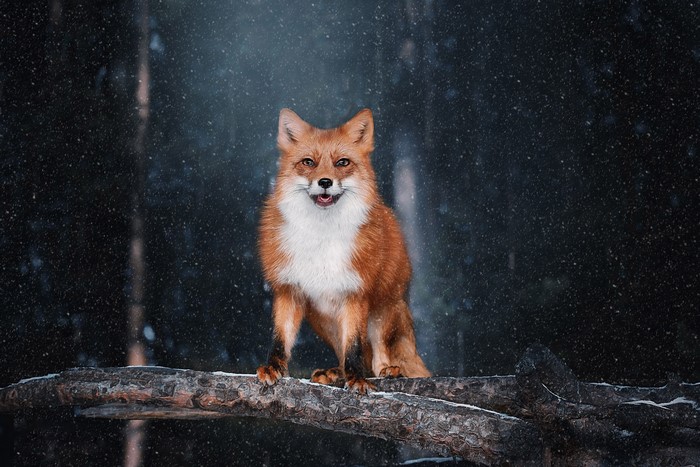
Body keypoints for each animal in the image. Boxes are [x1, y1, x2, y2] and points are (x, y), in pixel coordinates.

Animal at [256, 108, 430, 393]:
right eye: (308, 162)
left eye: (342, 163)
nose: (325, 181)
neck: (321, 236)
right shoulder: (288, 289)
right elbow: (280, 339)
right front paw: (274, 368)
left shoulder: (355, 292)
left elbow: (354, 347)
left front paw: (356, 379)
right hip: (322, 320)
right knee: (344, 352)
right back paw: (334, 372)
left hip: (384, 308)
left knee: (377, 353)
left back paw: (386, 371)